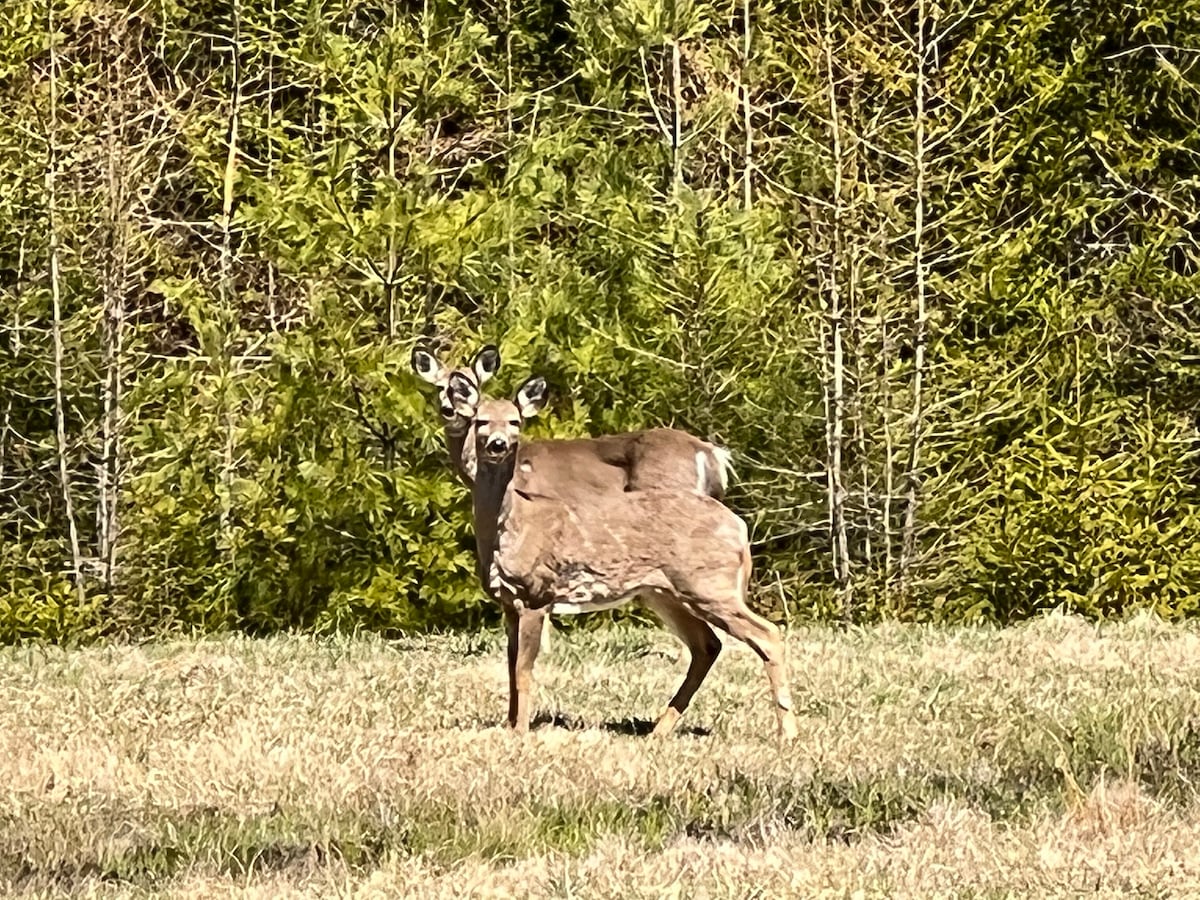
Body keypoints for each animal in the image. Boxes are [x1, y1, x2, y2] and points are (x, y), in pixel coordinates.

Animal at [448, 369, 796, 744]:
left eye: (515, 421)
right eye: (481, 420)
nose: (498, 444)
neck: (513, 525)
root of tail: (739, 527)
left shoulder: (537, 593)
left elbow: (524, 669)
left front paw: (522, 732)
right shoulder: (509, 603)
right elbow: (512, 669)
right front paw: (511, 725)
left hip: (710, 584)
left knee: (767, 634)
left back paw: (787, 731)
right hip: (665, 592)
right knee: (708, 645)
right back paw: (659, 730)